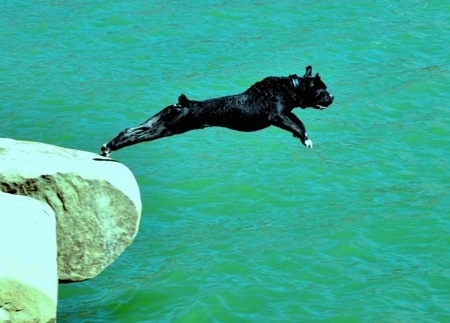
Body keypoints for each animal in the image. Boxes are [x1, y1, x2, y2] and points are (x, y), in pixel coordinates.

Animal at [102, 65, 334, 156]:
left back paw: (108, 146)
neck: (293, 86)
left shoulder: (286, 114)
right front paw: (305, 138)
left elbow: (299, 122)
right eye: (323, 90)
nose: (332, 96)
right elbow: (297, 124)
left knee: (130, 130)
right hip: (168, 128)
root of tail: (184, 103)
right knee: (137, 136)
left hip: (159, 119)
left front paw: (302, 137)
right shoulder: (278, 116)